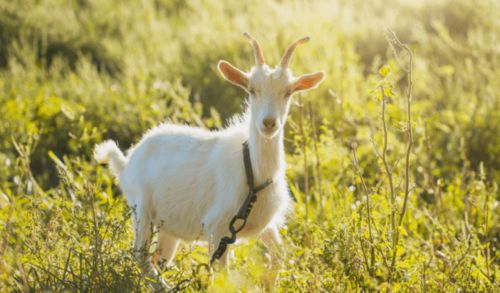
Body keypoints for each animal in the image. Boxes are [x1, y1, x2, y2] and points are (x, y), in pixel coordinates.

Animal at [94, 33, 324, 282]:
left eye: (288, 92)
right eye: (252, 90)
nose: (269, 123)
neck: (253, 173)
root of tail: (126, 163)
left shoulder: (265, 226)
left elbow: (278, 259)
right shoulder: (217, 229)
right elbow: (223, 277)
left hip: (168, 225)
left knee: (159, 258)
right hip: (142, 210)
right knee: (140, 257)